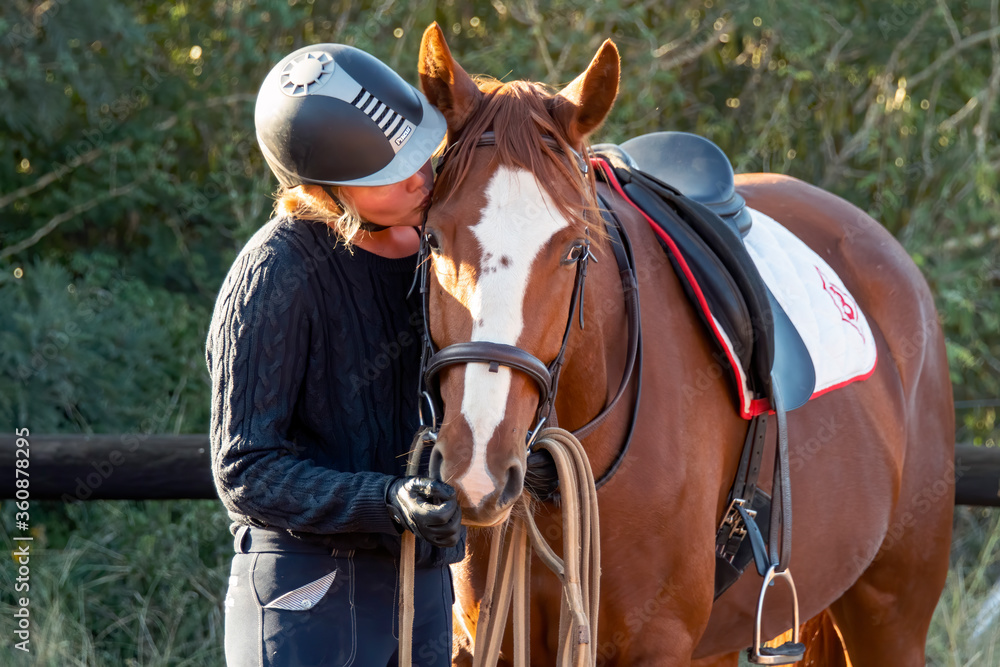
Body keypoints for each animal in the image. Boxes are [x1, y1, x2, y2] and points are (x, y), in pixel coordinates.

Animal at [415, 23, 955, 666]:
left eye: (574, 248)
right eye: (432, 239)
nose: (477, 467)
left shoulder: (659, 643)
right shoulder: (476, 643)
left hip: (892, 615)